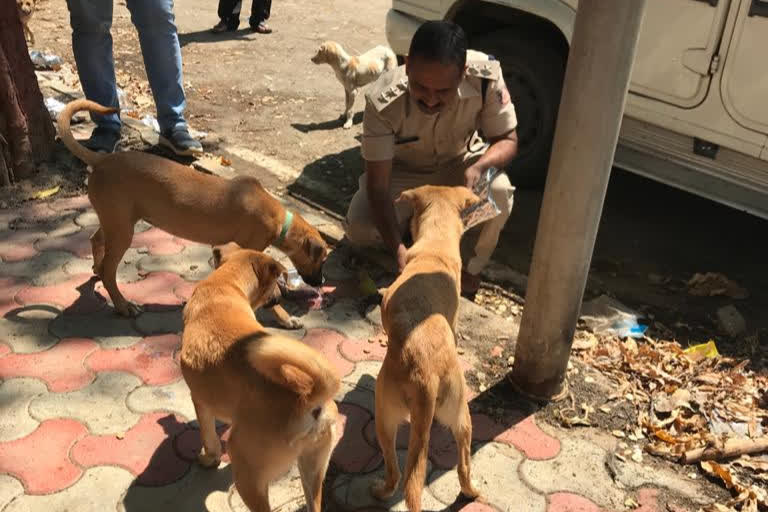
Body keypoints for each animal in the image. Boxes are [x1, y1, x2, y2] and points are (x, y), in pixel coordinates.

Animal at [56, 99, 328, 324]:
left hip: (117, 220)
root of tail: (101, 160)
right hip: (123, 230)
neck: (280, 219)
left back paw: (95, 269)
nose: (322, 283)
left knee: (96, 240)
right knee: (109, 271)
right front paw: (284, 317)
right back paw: (123, 305)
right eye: (323, 259)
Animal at [182, 246, 340, 510]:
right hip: (313, 467)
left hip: (247, 472)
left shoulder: (199, 400)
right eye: (276, 282)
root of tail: (308, 394)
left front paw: (209, 459)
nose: (280, 296)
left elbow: (209, 438)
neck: (224, 285)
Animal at [370, 185, 480, 512]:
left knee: (394, 474)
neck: (436, 245)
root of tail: (426, 377)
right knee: (463, 467)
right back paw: (471, 493)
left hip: (384, 415)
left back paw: (379, 493)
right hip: (462, 415)